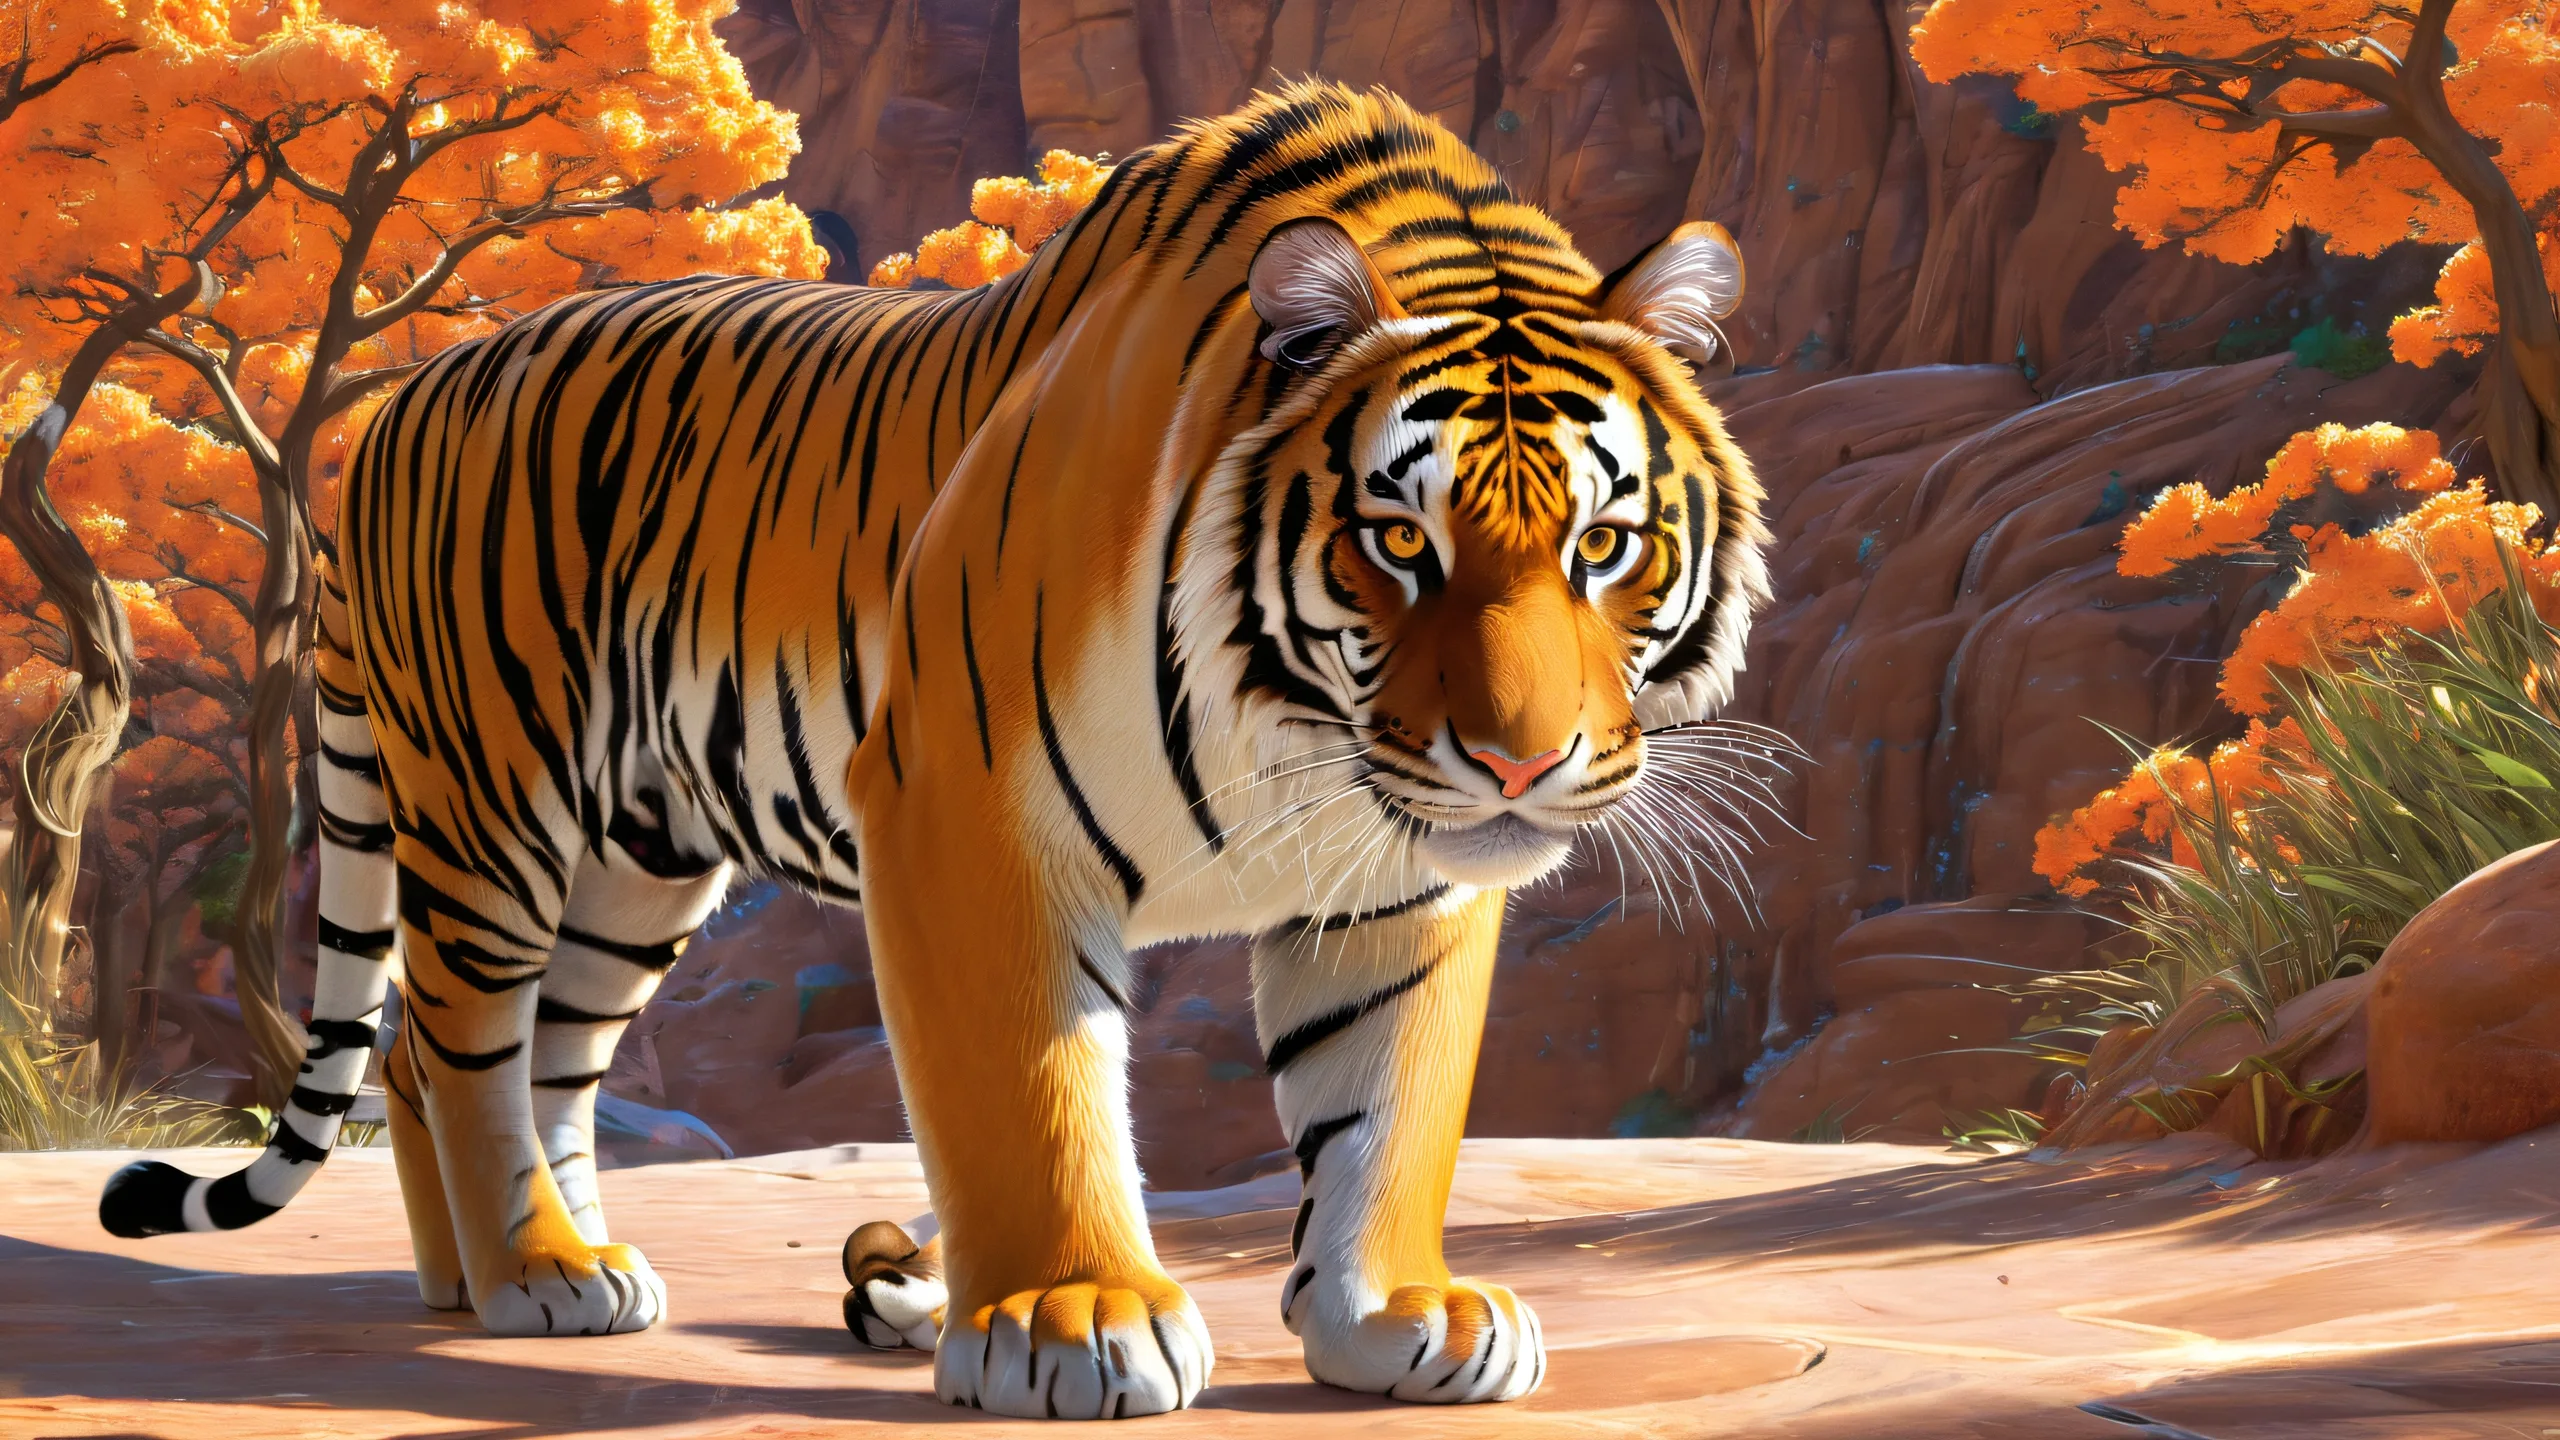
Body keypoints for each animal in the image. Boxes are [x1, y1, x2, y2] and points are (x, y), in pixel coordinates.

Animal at [96, 80, 1769, 1418]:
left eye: (1606, 545)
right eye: (1400, 544)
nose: (1518, 766)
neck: (1295, 722)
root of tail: (390, 406)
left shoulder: (1396, 875)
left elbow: (1388, 1104)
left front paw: (1394, 1316)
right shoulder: (971, 812)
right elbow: (1030, 1095)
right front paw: (1072, 1322)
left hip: (639, 858)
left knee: (509, 1049)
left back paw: (528, 1272)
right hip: (497, 796)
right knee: (457, 1035)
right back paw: (530, 1271)